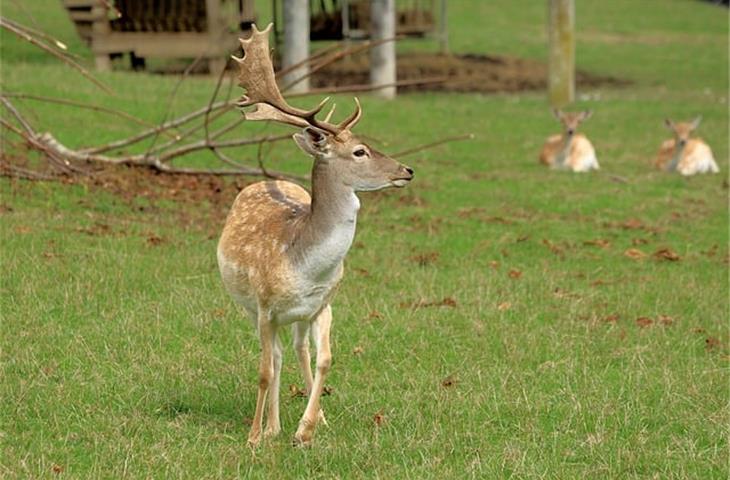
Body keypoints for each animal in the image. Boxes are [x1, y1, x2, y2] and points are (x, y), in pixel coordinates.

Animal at [213, 25, 412, 446]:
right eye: (359, 151)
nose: (407, 170)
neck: (306, 269)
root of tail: (262, 181)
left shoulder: (324, 304)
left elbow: (325, 360)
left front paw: (306, 429)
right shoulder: (265, 307)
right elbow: (265, 370)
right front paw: (255, 436)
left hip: (300, 317)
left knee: (299, 349)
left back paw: (307, 421)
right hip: (249, 307)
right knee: (275, 357)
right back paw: (271, 426)